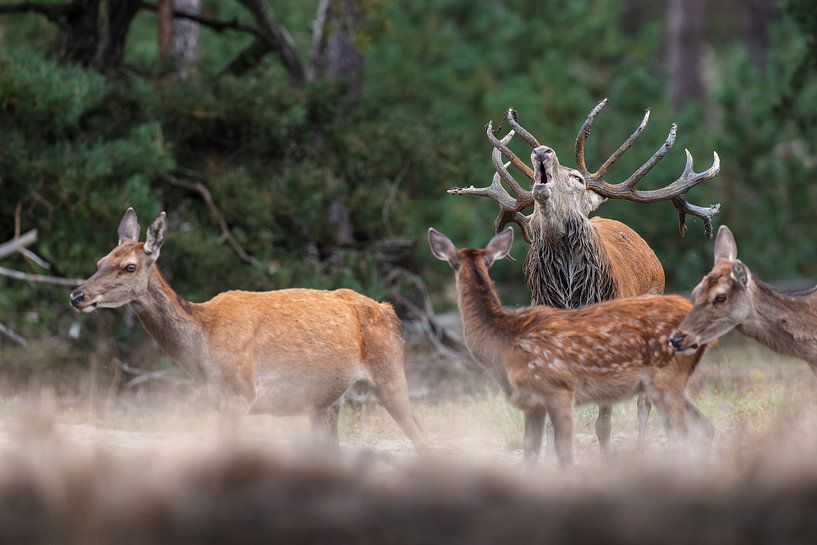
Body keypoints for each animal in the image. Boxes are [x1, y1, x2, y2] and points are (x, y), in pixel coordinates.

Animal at [69, 208, 425, 450]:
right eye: (100, 261)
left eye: (129, 266)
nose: (77, 295)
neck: (201, 349)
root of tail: (389, 310)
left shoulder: (240, 393)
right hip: (324, 402)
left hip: (390, 371)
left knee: (420, 434)